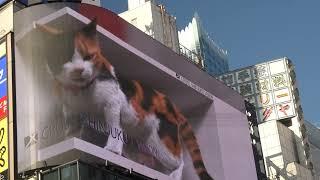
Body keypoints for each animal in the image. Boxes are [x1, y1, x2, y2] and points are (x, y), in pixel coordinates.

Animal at [13, 2, 216, 180]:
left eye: (89, 56)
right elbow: (71, 128)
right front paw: (70, 138)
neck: (82, 91)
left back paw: (171, 174)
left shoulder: (113, 102)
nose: (79, 70)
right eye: (64, 58)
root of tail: (172, 106)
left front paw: (111, 149)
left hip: (161, 141)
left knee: (179, 161)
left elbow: (114, 127)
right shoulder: (69, 109)